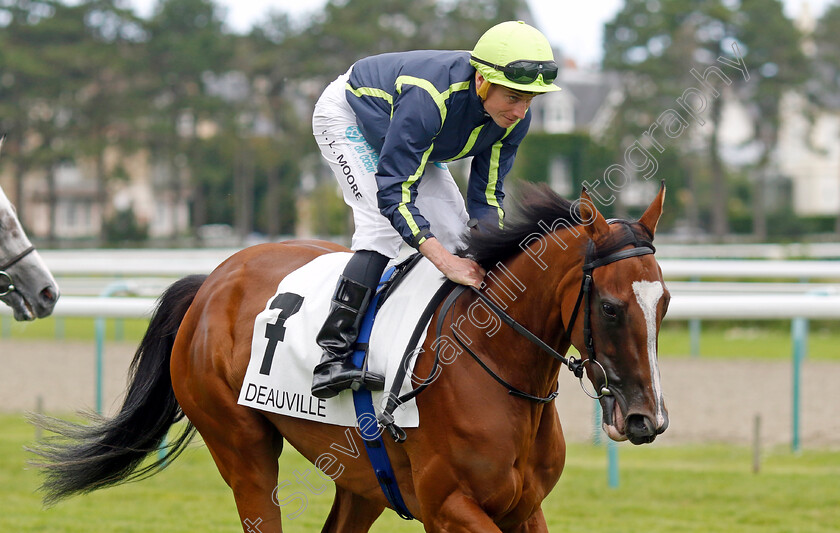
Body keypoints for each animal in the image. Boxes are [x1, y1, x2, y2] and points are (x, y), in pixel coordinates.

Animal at [32, 182, 668, 528]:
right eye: (611, 307)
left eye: (662, 304)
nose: (647, 419)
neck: (495, 366)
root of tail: (212, 279)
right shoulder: (450, 506)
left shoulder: (522, 508)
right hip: (240, 447)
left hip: (362, 478)